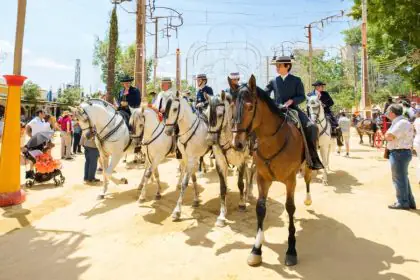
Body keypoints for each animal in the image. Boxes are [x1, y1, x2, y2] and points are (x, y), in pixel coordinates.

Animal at [163, 92, 210, 221]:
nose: (168, 131)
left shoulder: (192, 158)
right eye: (165, 109)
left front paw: (177, 211)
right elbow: (192, 178)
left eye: (175, 109)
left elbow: (185, 183)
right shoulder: (186, 157)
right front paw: (196, 199)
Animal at [206, 92, 254, 228]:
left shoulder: (241, 161)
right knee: (248, 173)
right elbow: (223, 188)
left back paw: (248, 194)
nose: (210, 140)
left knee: (252, 173)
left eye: (220, 115)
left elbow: (240, 183)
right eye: (205, 114)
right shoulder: (220, 163)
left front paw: (242, 204)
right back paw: (247, 195)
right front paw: (222, 215)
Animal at [231, 75, 310, 268]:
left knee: (308, 179)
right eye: (232, 106)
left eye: (250, 107)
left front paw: (291, 250)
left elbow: (290, 208)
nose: (237, 143)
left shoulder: (290, 180)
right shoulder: (262, 178)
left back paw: (308, 199)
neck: (273, 141)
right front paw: (256, 250)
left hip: (308, 165)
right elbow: (260, 209)